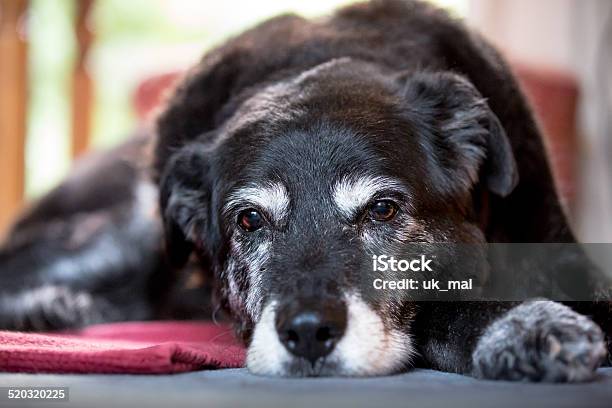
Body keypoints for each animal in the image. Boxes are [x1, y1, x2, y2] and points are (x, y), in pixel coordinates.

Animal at [1, 0, 612, 382]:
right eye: (249, 220)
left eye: (383, 210)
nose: (309, 332)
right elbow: (441, 309)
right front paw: (525, 329)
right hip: (127, 232)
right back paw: (48, 307)